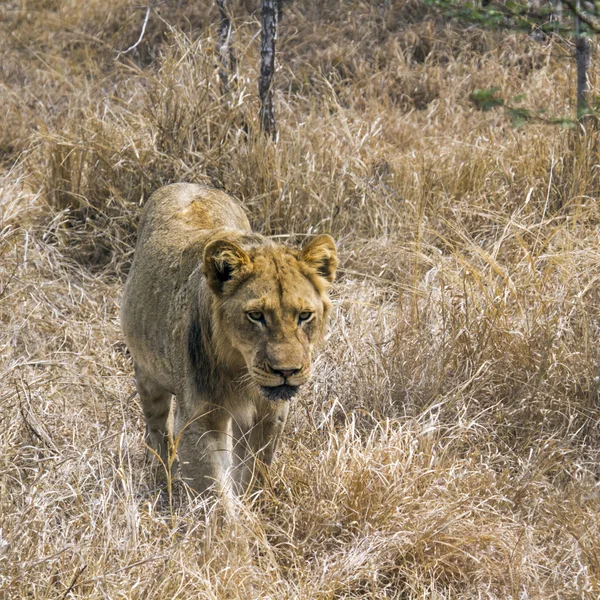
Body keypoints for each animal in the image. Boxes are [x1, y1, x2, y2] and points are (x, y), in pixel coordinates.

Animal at [122, 182, 338, 502]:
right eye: (256, 315)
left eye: (304, 315)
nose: (286, 372)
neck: (240, 371)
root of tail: (189, 183)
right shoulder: (199, 416)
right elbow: (213, 489)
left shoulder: (270, 413)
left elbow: (254, 470)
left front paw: (251, 504)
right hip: (147, 373)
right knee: (157, 428)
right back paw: (161, 476)